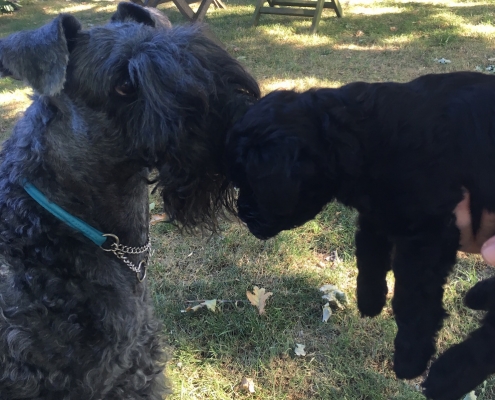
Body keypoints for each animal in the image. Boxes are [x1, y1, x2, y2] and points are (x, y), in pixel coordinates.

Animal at [227, 72, 495, 400]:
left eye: (251, 181)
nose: (243, 214)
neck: (360, 136)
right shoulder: (376, 214)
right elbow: (368, 255)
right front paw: (370, 299)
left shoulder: (426, 232)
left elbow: (411, 300)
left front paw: (410, 356)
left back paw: (448, 376)